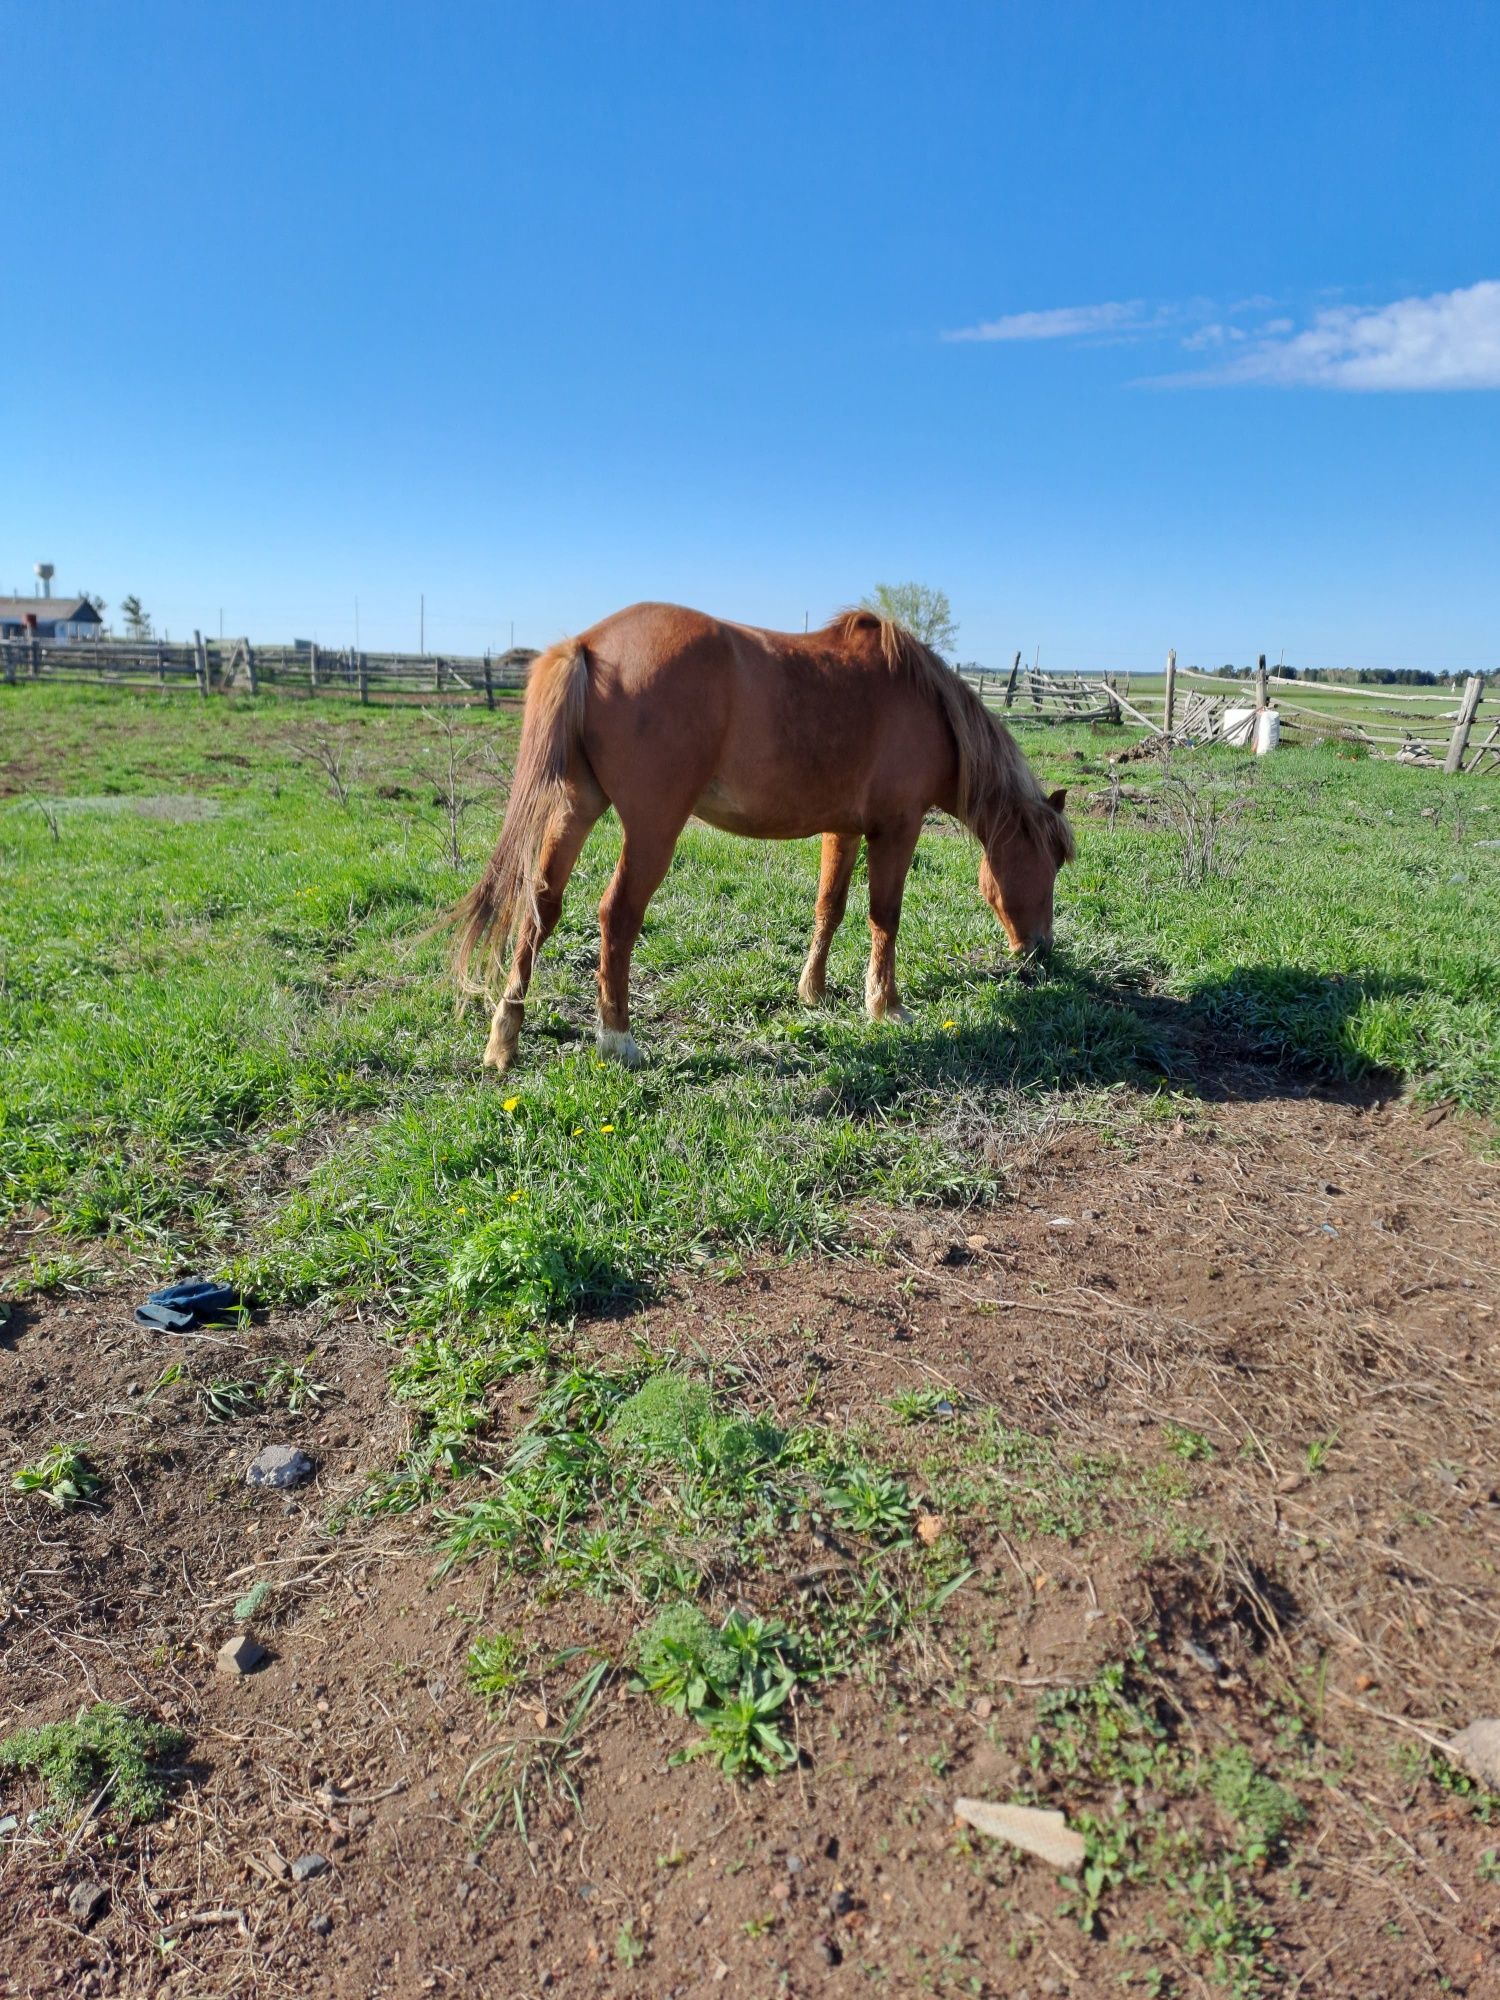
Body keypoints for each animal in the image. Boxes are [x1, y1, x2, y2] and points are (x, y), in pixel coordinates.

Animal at [452, 600, 1072, 1072]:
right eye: (1051, 862)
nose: (1039, 950)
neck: (928, 708)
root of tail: (587, 645)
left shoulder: (843, 831)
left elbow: (830, 907)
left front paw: (813, 991)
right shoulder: (897, 830)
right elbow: (885, 917)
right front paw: (886, 1006)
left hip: (574, 810)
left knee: (541, 907)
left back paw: (504, 1039)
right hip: (653, 827)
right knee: (617, 914)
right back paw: (618, 1039)